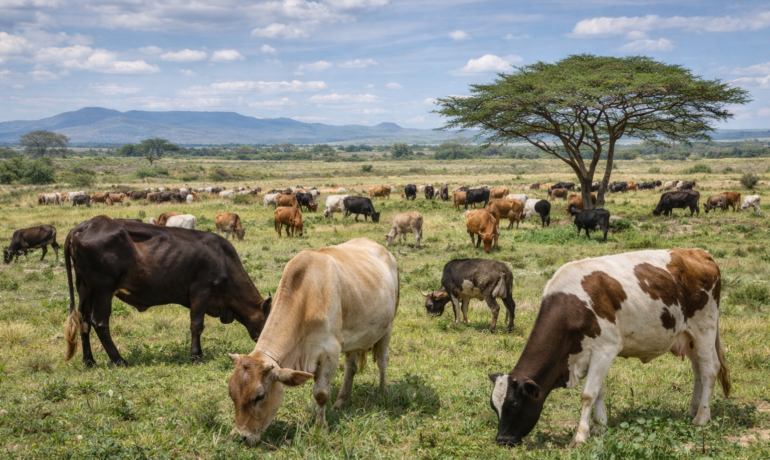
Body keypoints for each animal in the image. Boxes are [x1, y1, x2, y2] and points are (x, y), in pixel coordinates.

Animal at [63, 216, 271, 366]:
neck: (224, 259)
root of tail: (84, 226)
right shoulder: (201, 291)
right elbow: (196, 324)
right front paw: (196, 356)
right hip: (103, 290)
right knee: (100, 323)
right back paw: (119, 360)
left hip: (85, 289)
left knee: (83, 321)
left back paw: (89, 360)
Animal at [227, 237, 398, 446]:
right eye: (232, 394)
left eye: (260, 396)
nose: (240, 437)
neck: (307, 298)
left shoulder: (330, 351)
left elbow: (321, 394)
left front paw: (320, 428)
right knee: (351, 367)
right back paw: (341, 401)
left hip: (387, 327)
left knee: (382, 361)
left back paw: (382, 392)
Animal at [487, 249, 728, 447]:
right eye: (493, 407)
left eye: (514, 404)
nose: (502, 440)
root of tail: (700, 253)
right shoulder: (590, 354)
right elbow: (599, 391)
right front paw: (599, 426)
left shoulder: (605, 349)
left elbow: (588, 394)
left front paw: (580, 436)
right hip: (689, 337)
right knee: (698, 371)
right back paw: (692, 409)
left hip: (704, 329)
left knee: (709, 370)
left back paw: (701, 417)